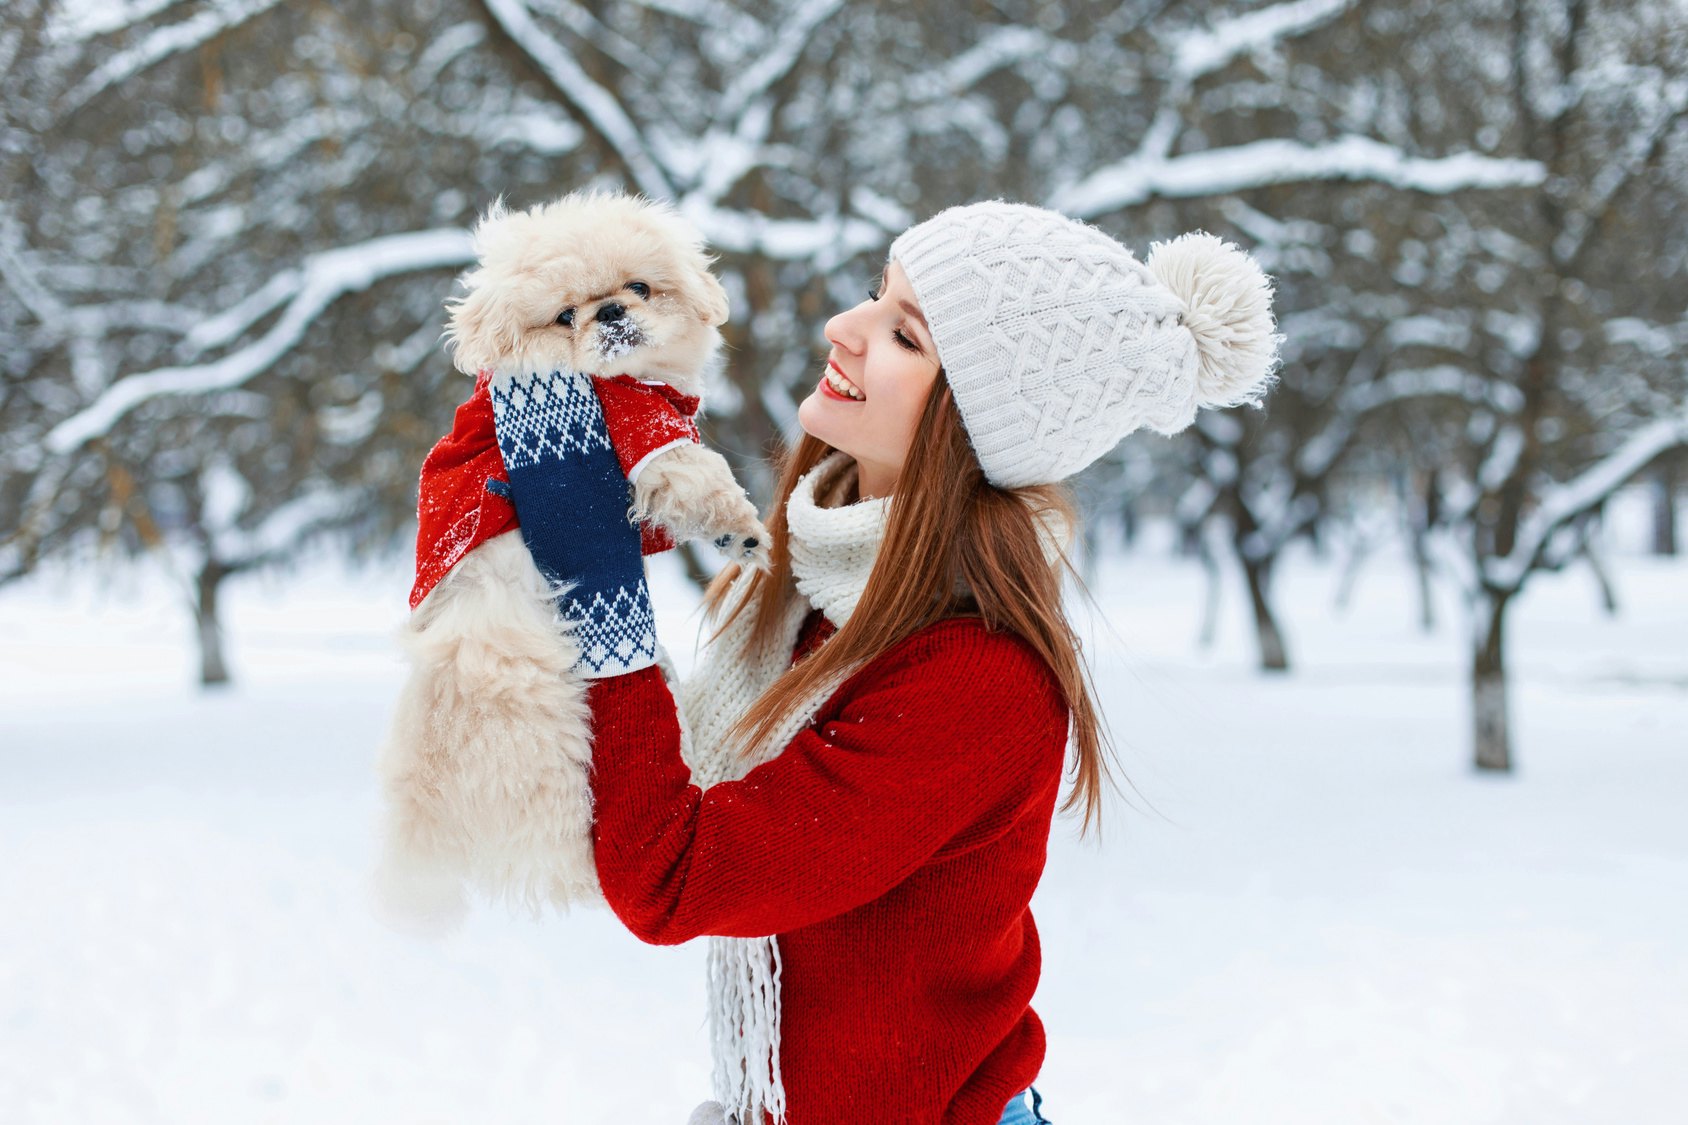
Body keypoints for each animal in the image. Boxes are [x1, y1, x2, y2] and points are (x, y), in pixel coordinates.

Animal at [379, 192, 769, 925]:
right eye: (564, 315)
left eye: (638, 288)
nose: (609, 312)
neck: (619, 378)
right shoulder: (643, 430)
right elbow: (701, 476)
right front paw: (747, 533)